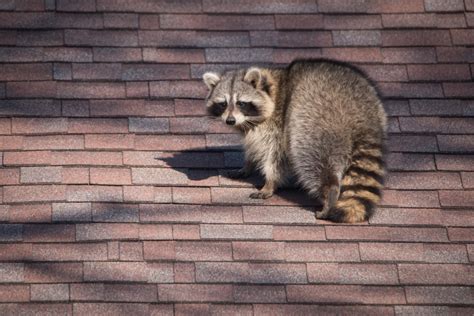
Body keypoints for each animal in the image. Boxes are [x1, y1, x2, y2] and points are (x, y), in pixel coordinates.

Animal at [202, 59, 386, 222]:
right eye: (223, 104)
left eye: (241, 103)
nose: (230, 121)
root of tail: (361, 113)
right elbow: (254, 147)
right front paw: (248, 165)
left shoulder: (277, 124)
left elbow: (275, 155)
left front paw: (270, 182)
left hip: (315, 118)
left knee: (310, 156)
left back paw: (330, 192)